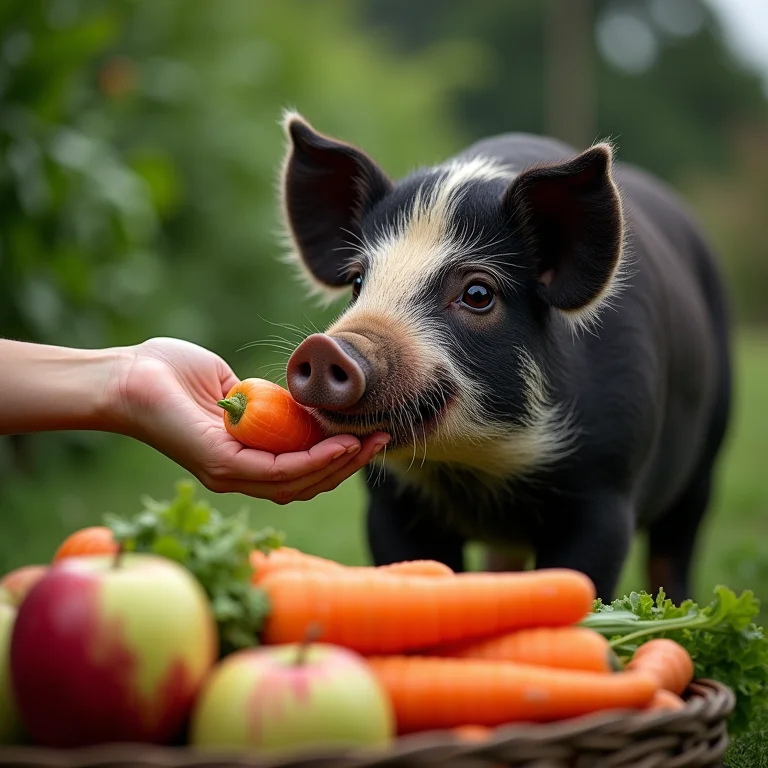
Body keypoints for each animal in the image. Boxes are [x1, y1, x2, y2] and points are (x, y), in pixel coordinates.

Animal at [279, 111, 732, 603]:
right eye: (359, 282)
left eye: (478, 294)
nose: (326, 347)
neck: (481, 467)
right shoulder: (389, 503)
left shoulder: (608, 490)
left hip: (707, 458)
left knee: (675, 551)